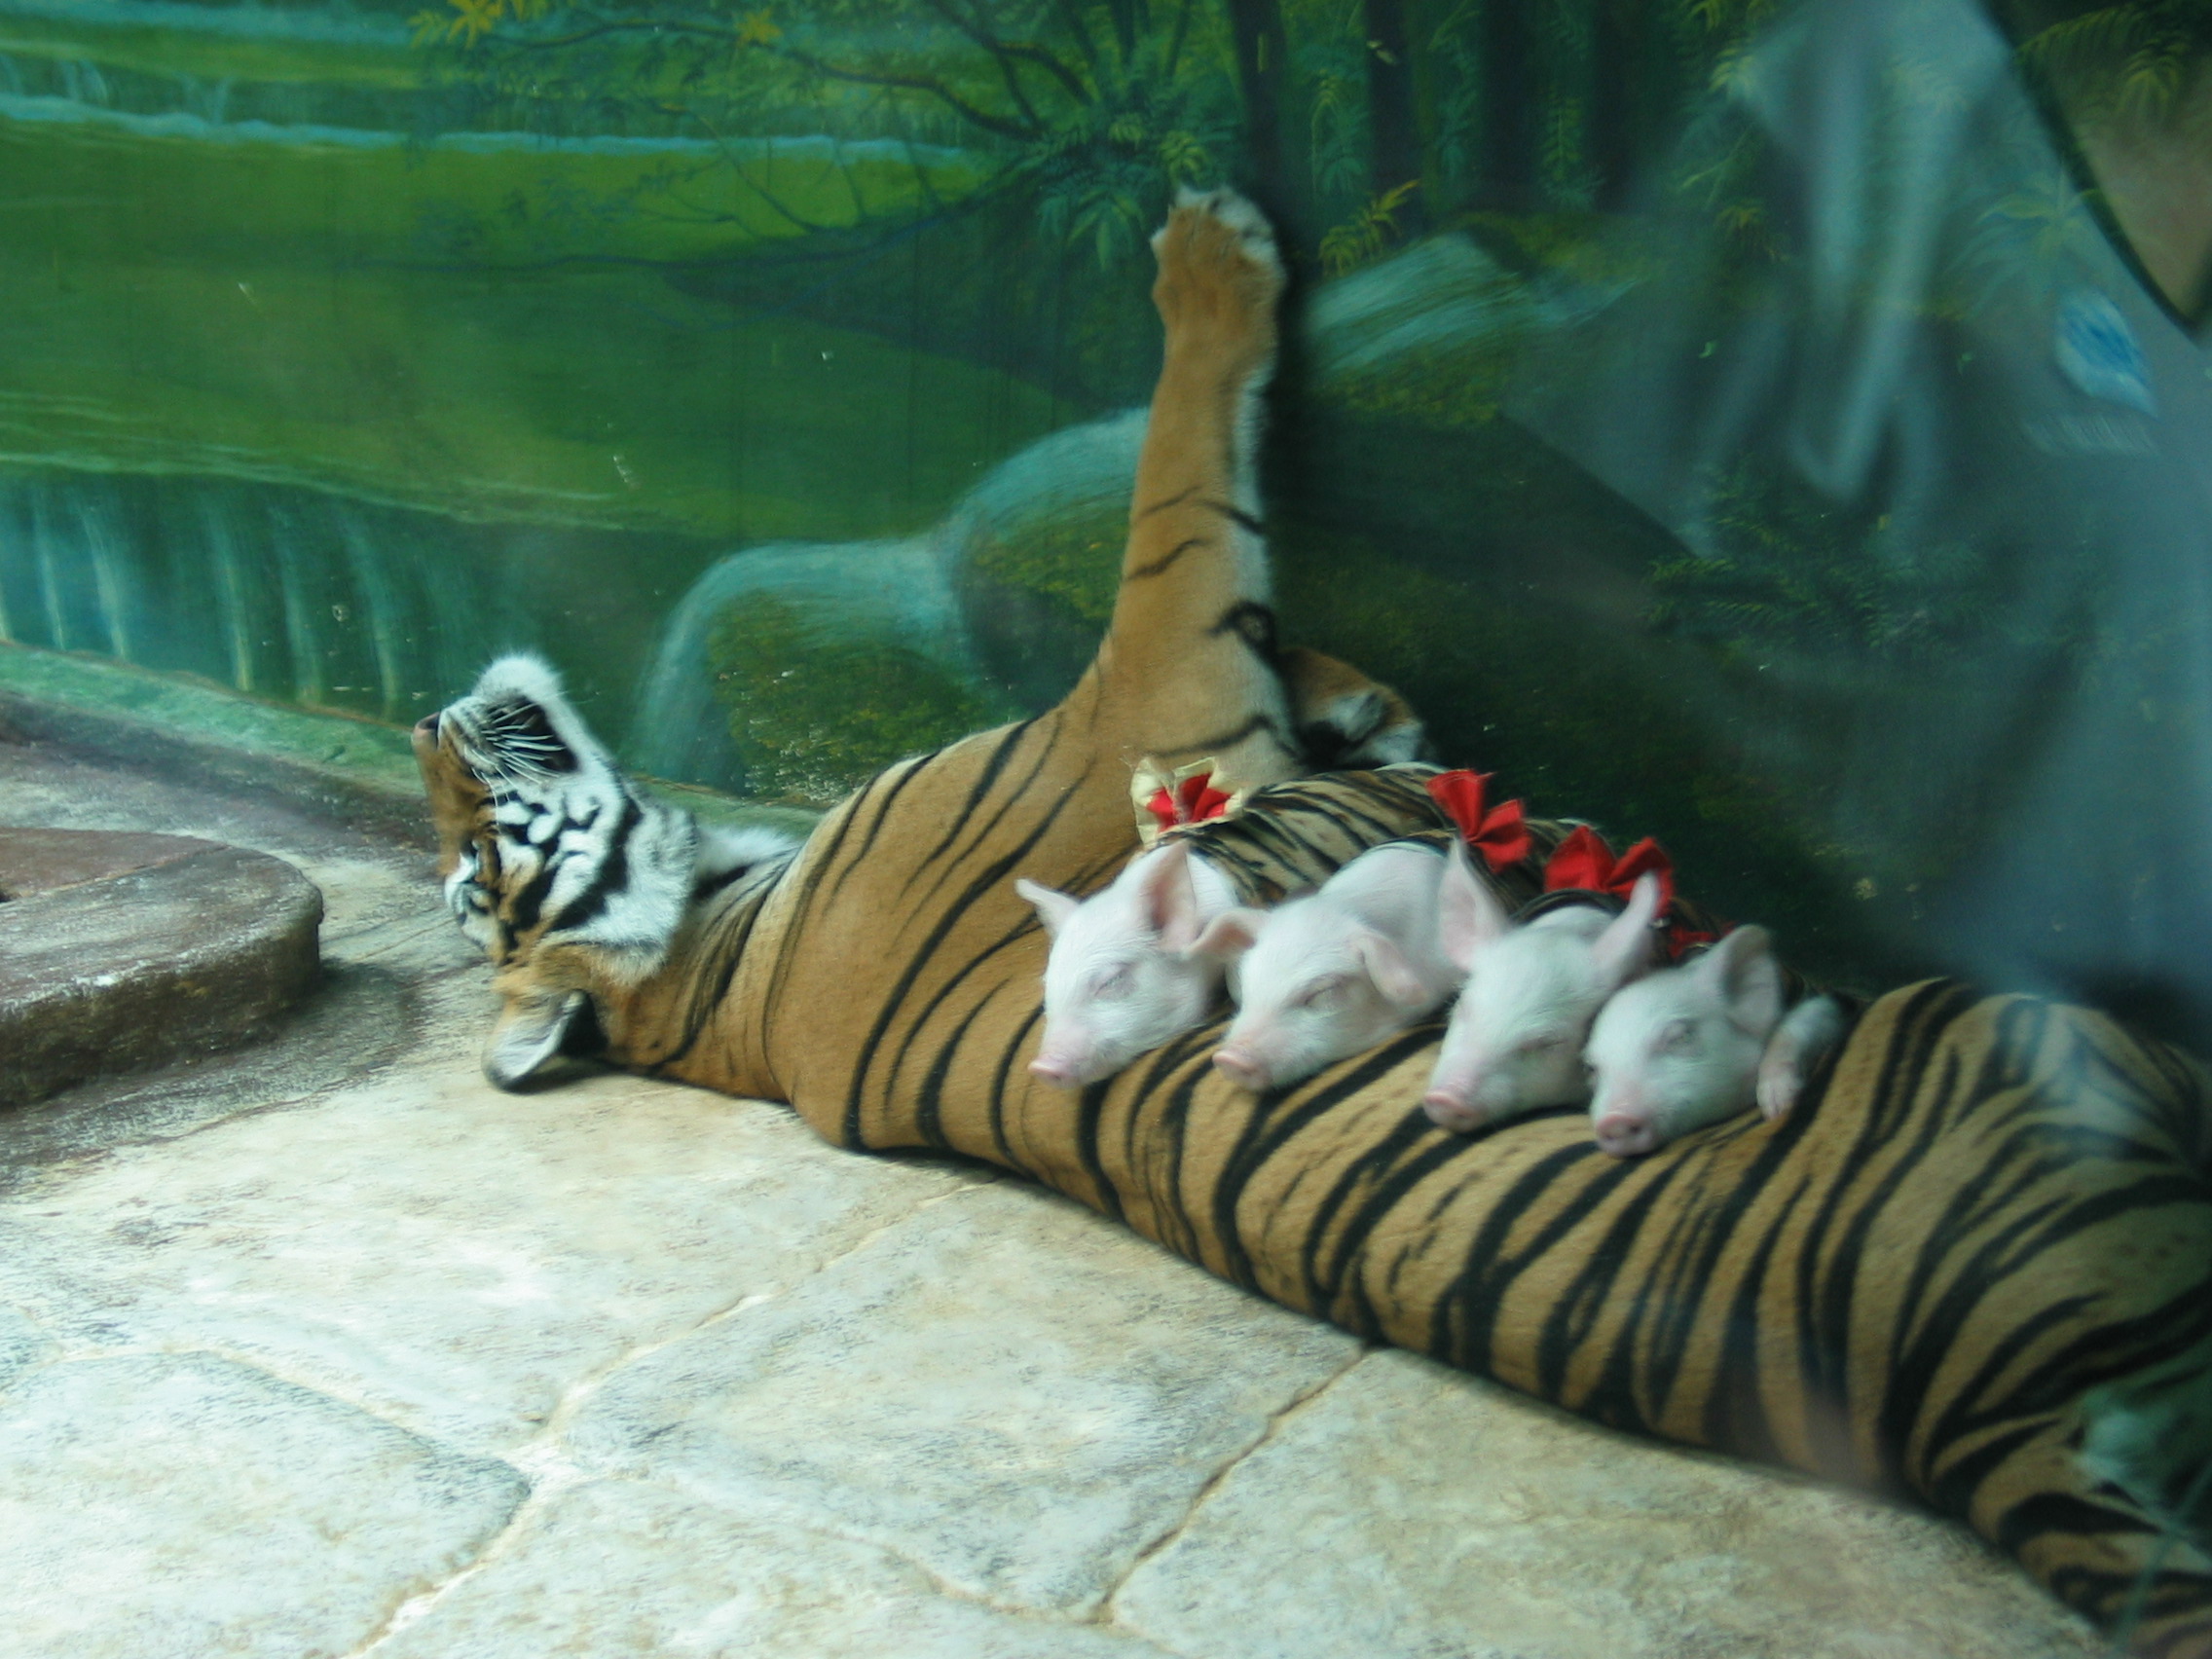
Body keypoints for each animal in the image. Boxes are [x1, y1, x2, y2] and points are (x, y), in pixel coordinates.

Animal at [413, 189, 2212, 1654]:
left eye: (463, 853)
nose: (436, 708)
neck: (731, 961)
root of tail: (2004, 1425)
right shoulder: (1152, 695)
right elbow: (1177, 500)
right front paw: (1214, 259)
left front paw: (1365, 695)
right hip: (2043, 1038)